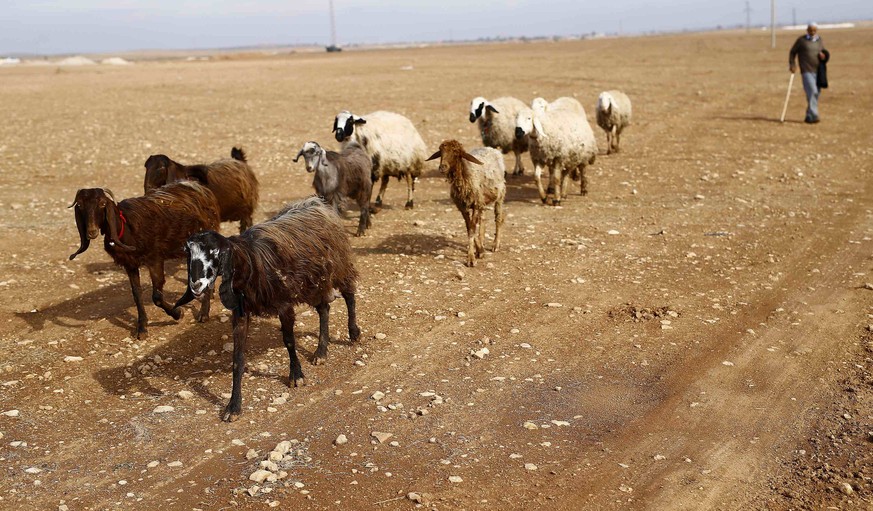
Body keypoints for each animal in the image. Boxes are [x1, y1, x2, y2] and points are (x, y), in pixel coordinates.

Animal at [70, 182, 223, 338]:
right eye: (80, 205)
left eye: (102, 204)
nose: (91, 232)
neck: (126, 227)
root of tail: (201, 188)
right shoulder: (130, 264)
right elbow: (136, 294)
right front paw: (142, 328)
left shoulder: (155, 259)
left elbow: (157, 297)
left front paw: (178, 313)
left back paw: (203, 314)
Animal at [172, 198, 360, 422]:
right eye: (188, 253)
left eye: (215, 252)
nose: (196, 285)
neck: (250, 263)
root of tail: (316, 203)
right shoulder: (241, 313)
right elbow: (237, 358)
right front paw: (233, 406)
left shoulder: (284, 305)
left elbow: (289, 341)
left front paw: (296, 375)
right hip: (314, 282)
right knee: (324, 308)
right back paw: (321, 352)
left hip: (339, 267)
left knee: (349, 294)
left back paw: (353, 332)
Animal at [428, 140, 508, 268]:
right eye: (440, 151)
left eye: (456, 152)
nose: (442, 167)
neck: (466, 174)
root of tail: (491, 148)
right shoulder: (463, 206)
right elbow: (469, 227)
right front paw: (479, 250)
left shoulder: (474, 204)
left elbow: (472, 228)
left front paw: (471, 258)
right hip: (482, 200)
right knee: (483, 220)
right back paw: (482, 242)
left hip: (500, 194)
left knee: (499, 218)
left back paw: (495, 245)